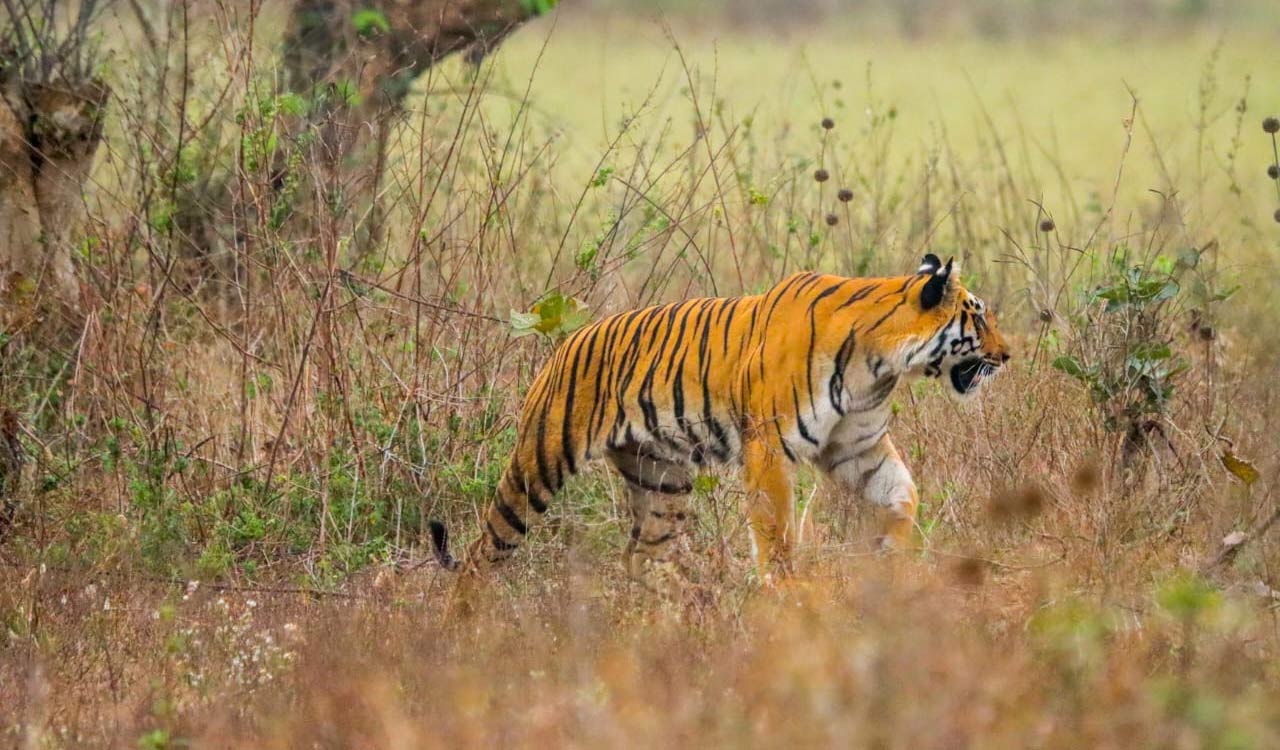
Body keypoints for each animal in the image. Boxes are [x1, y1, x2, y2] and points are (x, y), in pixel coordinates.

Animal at [430, 253, 1008, 593]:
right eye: (978, 316)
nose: (1008, 355)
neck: (882, 363)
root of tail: (568, 340)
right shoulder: (770, 447)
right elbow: (775, 531)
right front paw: (786, 594)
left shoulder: (858, 447)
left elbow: (902, 495)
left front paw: (895, 555)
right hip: (540, 463)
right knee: (485, 551)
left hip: (660, 478)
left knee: (643, 557)